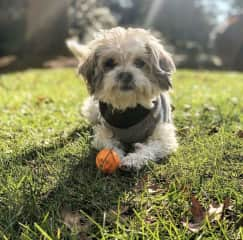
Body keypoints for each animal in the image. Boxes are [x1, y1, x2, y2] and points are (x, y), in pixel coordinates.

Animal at [67, 27, 178, 170]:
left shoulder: (163, 135)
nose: (125, 75)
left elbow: (150, 147)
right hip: (92, 110)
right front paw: (114, 155)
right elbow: (109, 143)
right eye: (109, 63)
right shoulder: (103, 132)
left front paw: (133, 160)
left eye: (139, 62)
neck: (129, 109)